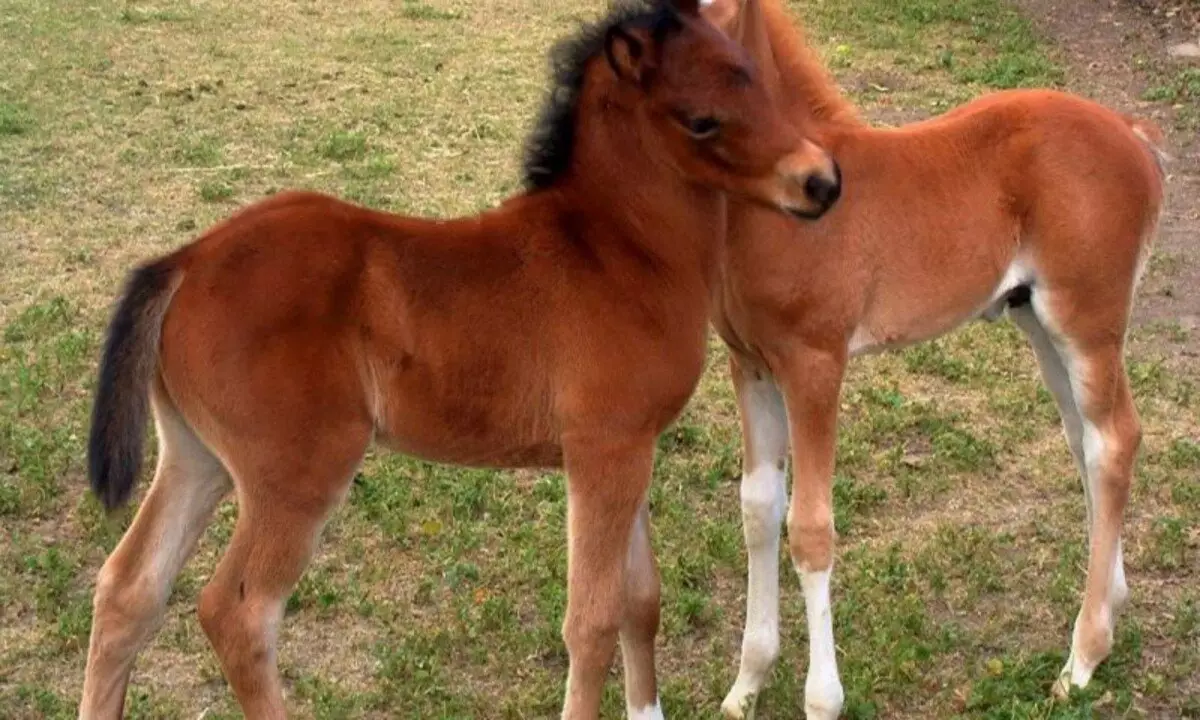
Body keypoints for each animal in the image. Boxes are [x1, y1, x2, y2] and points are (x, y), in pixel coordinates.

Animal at [79, 1, 844, 720]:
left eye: (755, 77)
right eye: (701, 121)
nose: (822, 182)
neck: (615, 250)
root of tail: (182, 261)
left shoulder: (628, 449)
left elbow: (640, 599)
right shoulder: (605, 450)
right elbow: (592, 620)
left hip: (196, 457)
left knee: (127, 590)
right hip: (296, 475)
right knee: (237, 615)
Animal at [700, 2, 1166, 715]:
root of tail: (1131, 132)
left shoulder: (814, 364)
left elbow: (810, 530)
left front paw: (821, 698)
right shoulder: (749, 365)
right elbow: (758, 509)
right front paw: (746, 684)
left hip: (1086, 322)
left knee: (1113, 440)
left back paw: (1082, 657)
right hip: (1040, 323)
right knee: (1088, 439)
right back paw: (1109, 609)